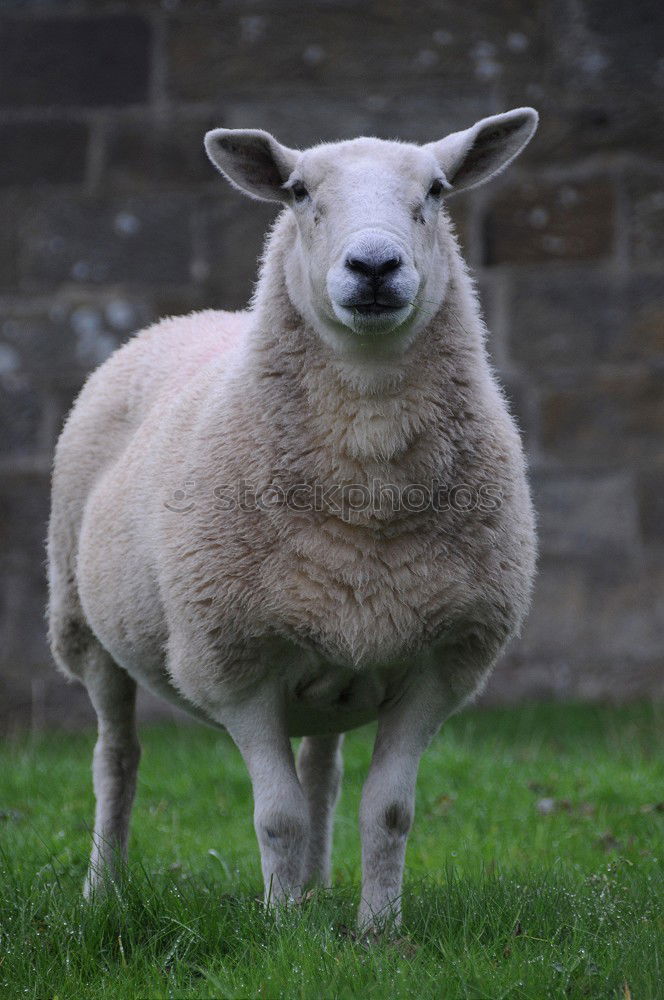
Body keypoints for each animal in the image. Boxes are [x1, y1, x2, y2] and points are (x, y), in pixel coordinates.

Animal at [49, 109, 540, 928]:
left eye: (437, 191)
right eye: (300, 191)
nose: (373, 266)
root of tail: (193, 316)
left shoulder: (442, 661)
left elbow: (388, 812)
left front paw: (377, 932)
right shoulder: (234, 660)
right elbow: (275, 816)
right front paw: (281, 931)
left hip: (338, 659)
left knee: (322, 772)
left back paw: (315, 891)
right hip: (83, 626)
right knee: (116, 759)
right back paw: (102, 889)